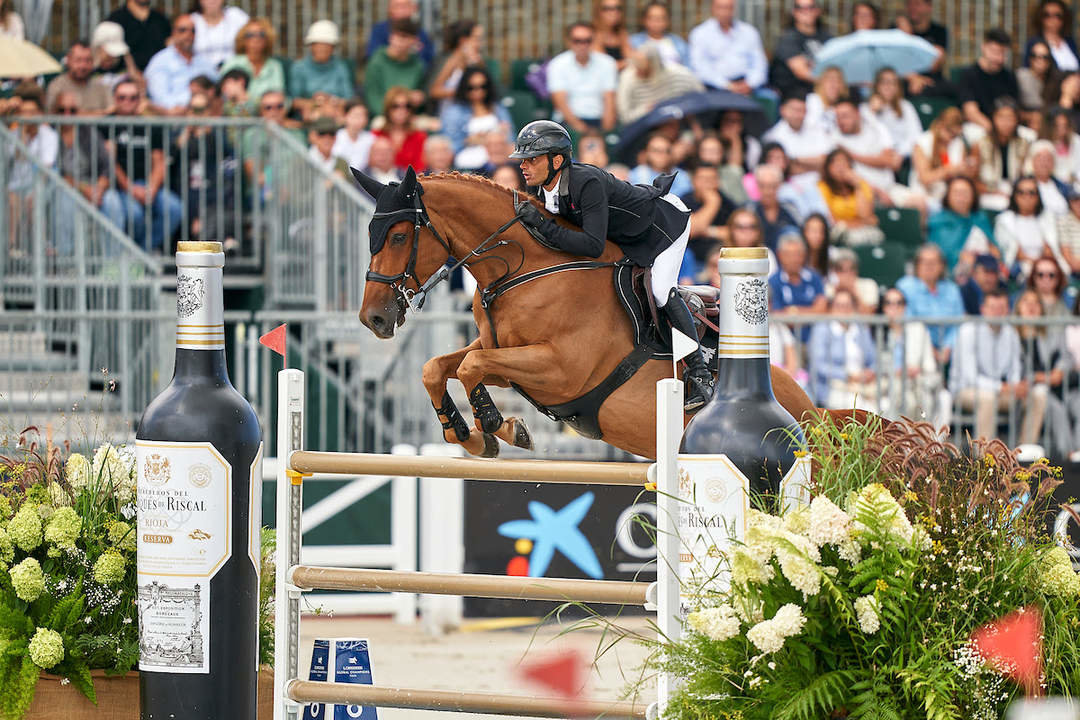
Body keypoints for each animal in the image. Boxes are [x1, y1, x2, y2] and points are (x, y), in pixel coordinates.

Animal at [354, 169, 816, 459]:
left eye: (398, 236)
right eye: (371, 234)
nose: (372, 319)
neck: (524, 269)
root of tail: (816, 412)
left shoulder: (560, 370)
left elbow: (470, 367)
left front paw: (500, 426)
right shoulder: (504, 358)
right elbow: (438, 367)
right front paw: (471, 438)